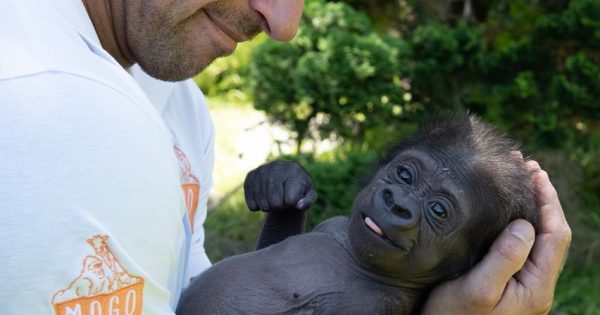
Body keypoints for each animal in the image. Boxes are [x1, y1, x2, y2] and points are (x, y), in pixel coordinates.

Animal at [178, 115, 540, 314]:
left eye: (438, 209)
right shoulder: (335, 225)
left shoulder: (373, 307)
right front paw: (282, 184)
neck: (357, 260)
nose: (397, 203)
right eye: (405, 176)